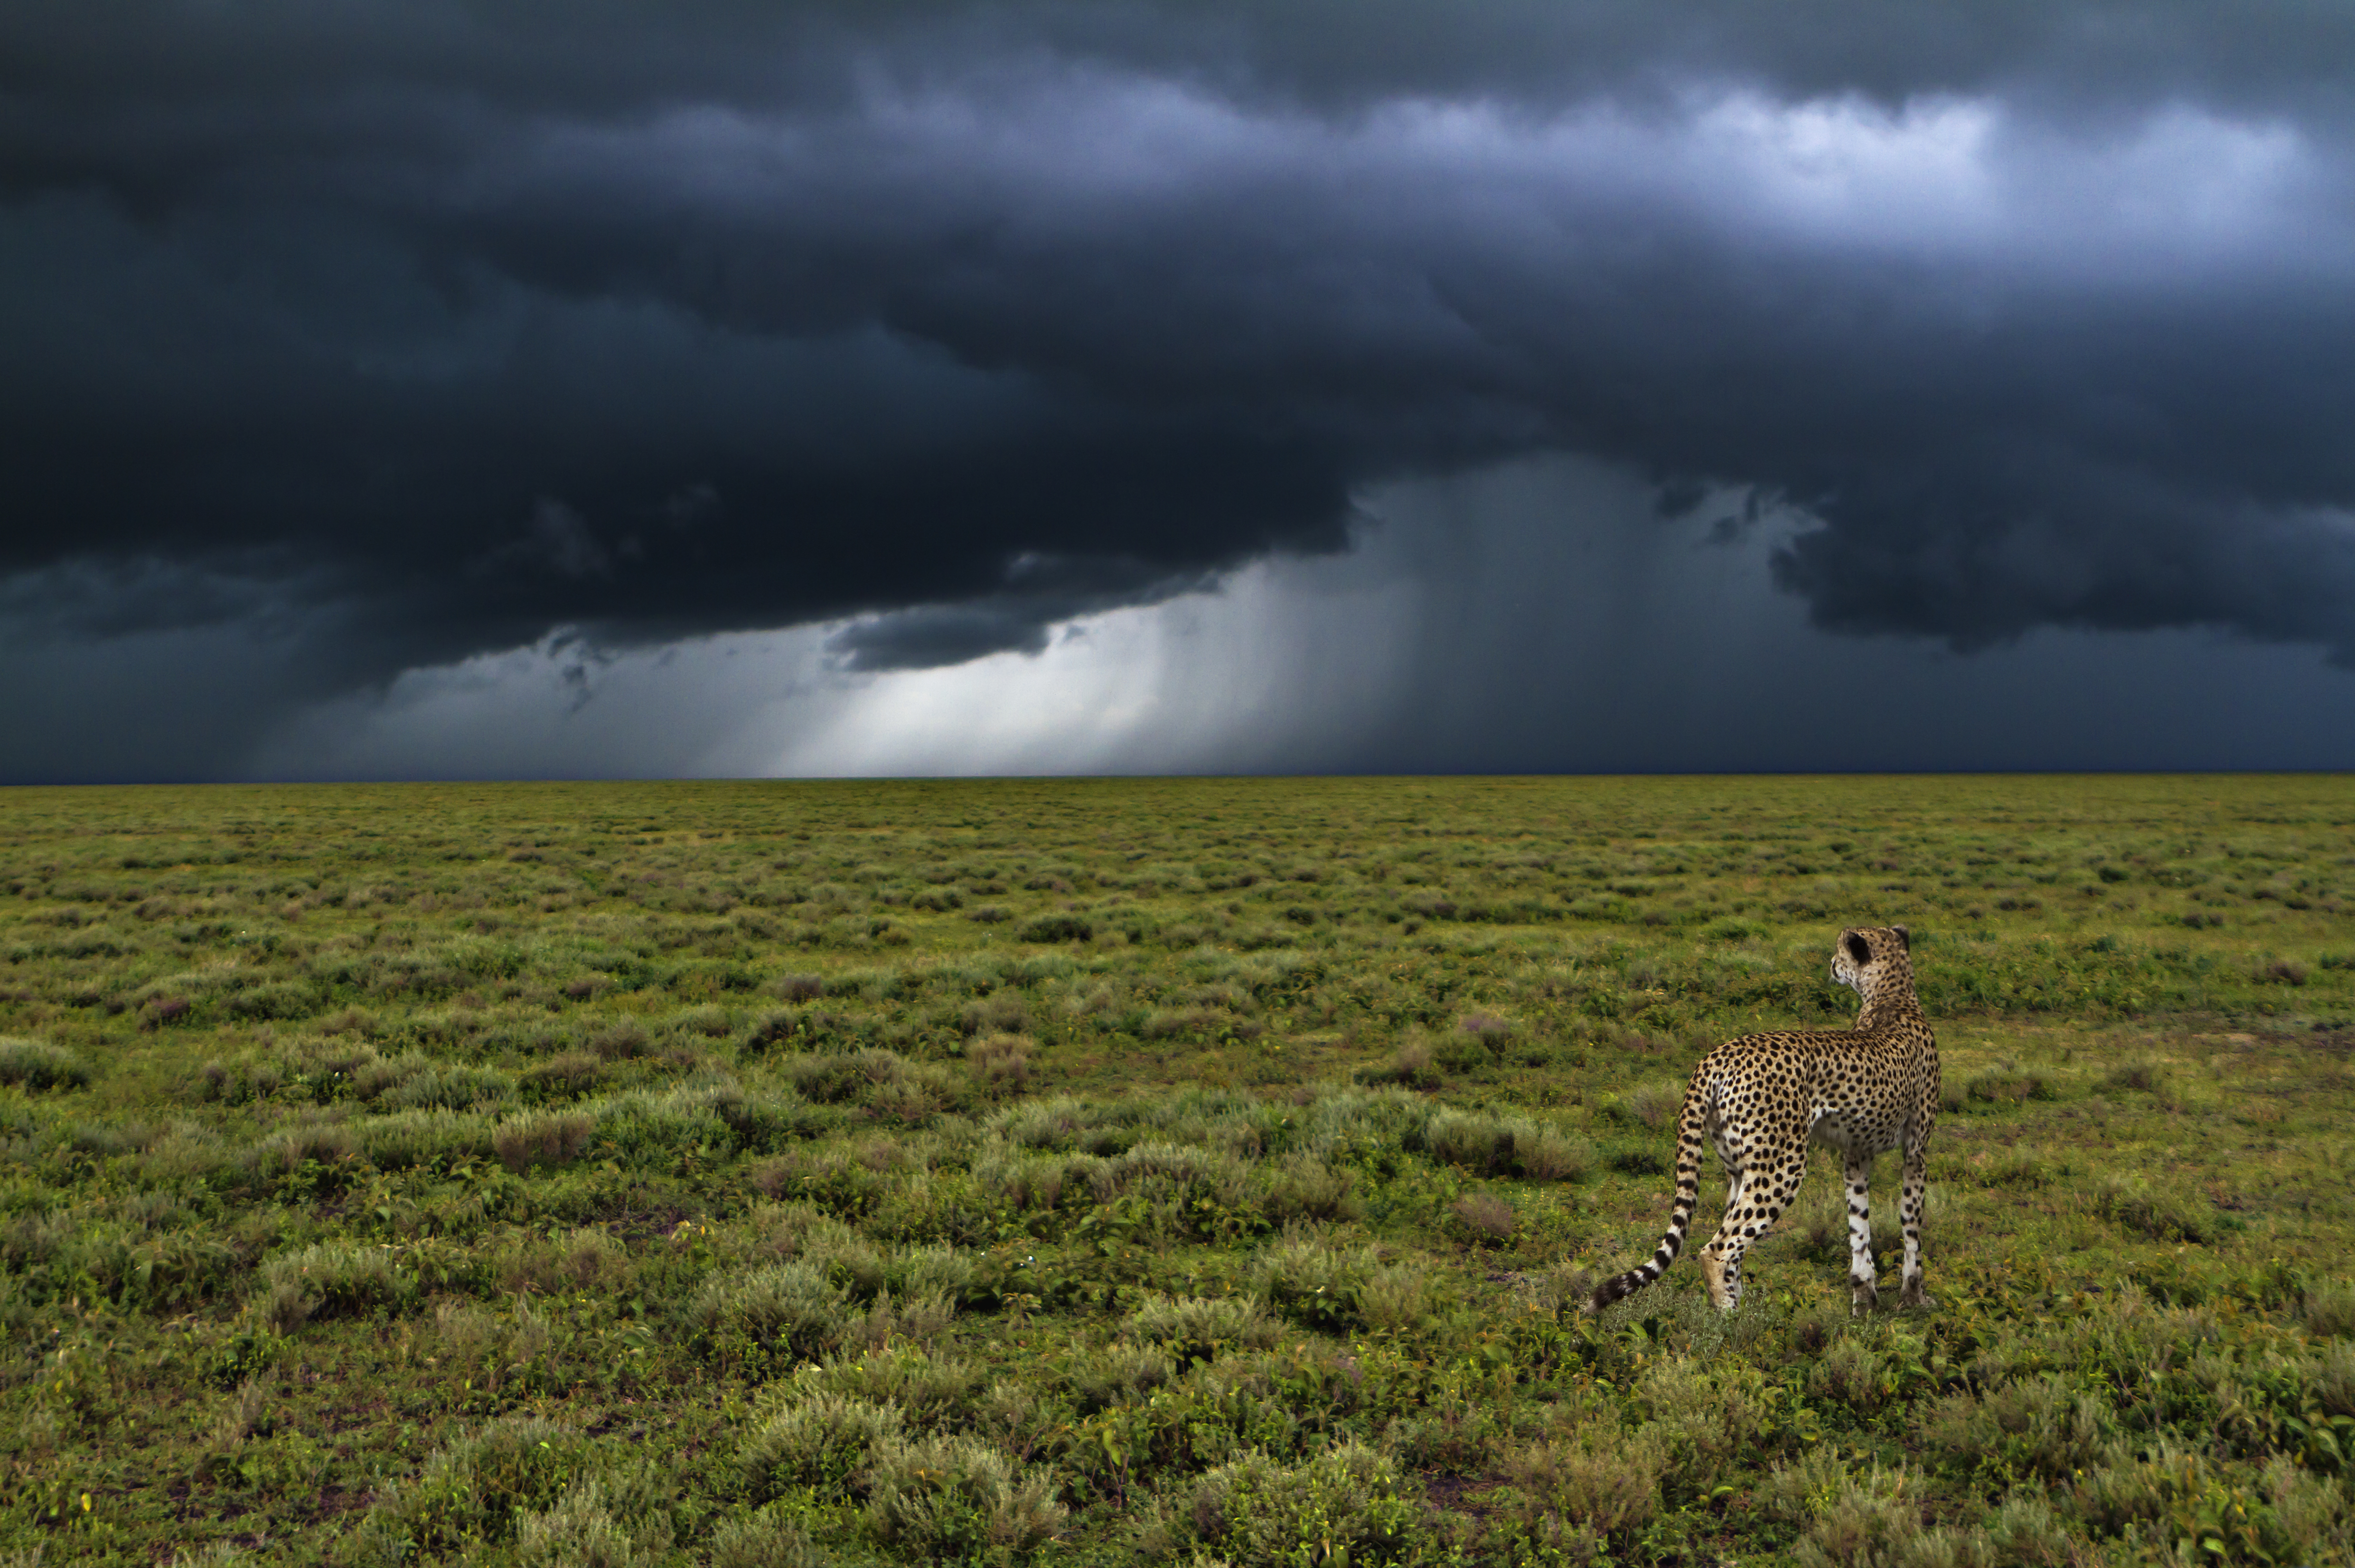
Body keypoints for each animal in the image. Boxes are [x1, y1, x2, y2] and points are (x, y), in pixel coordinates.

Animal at [1592, 923, 1940, 1309]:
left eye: (1840, 952)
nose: (1832, 964)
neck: (1892, 996)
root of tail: (1719, 1052)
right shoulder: (1914, 1151)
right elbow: (1910, 1222)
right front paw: (1914, 1298)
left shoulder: (1856, 1155)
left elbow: (1859, 1226)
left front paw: (1864, 1301)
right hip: (1781, 1165)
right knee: (1717, 1250)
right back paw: (1730, 1319)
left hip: (1740, 1168)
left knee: (1732, 1246)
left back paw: (1744, 1312)